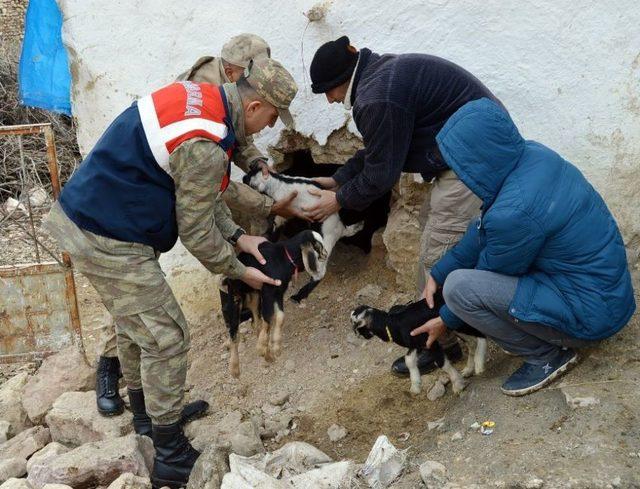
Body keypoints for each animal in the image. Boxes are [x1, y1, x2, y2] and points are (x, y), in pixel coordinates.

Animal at [222, 229, 328, 378]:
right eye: (318, 245)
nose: (326, 253)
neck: (284, 257)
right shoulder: (268, 290)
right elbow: (269, 316)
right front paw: (261, 347)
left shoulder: (278, 292)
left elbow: (280, 316)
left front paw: (275, 347)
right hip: (235, 301)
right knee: (234, 334)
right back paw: (235, 368)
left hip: (255, 295)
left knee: (256, 322)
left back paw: (267, 353)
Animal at [244, 168, 364, 302]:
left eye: (249, 179)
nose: (243, 178)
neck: (279, 182)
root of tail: (342, 228)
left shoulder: (284, 208)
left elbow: (277, 222)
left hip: (325, 243)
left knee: (320, 273)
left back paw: (298, 296)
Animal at [350, 292, 484, 394]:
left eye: (356, 325)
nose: (357, 335)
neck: (393, 325)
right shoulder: (415, 344)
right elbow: (409, 360)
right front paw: (415, 385)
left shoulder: (431, 341)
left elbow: (441, 363)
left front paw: (457, 384)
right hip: (453, 326)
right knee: (472, 342)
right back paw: (469, 369)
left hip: (460, 321)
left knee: (480, 335)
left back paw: (479, 361)